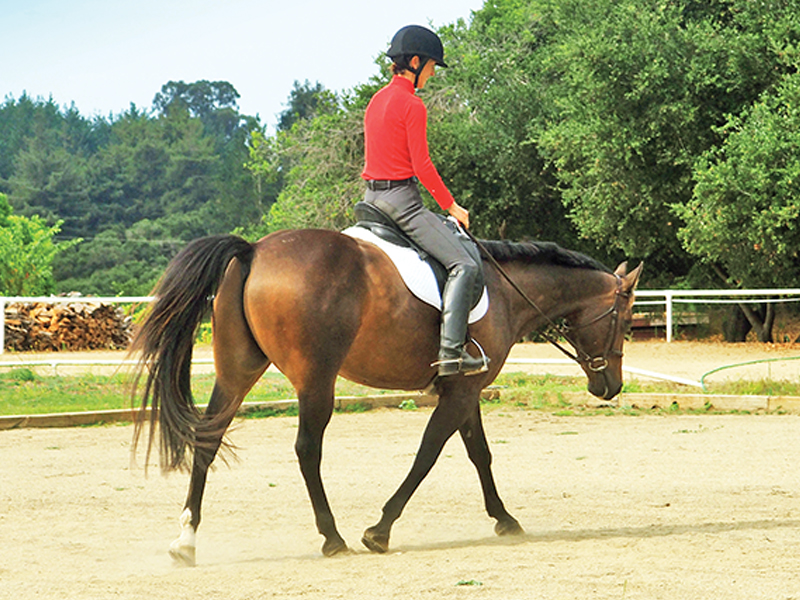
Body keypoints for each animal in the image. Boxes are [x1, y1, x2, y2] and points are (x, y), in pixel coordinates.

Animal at [131, 228, 642, 565]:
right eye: (626, 321)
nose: (610, 386)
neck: (505, 290)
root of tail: (254, 250)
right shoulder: (460, 392)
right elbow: (428, 454)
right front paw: (379, 530)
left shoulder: (466, 389)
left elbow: (479, 453)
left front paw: (504, 519)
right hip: (316, 380)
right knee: (307, 450)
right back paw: (332, 537)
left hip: (237, 372)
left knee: (207, 440)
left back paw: (186, 541)